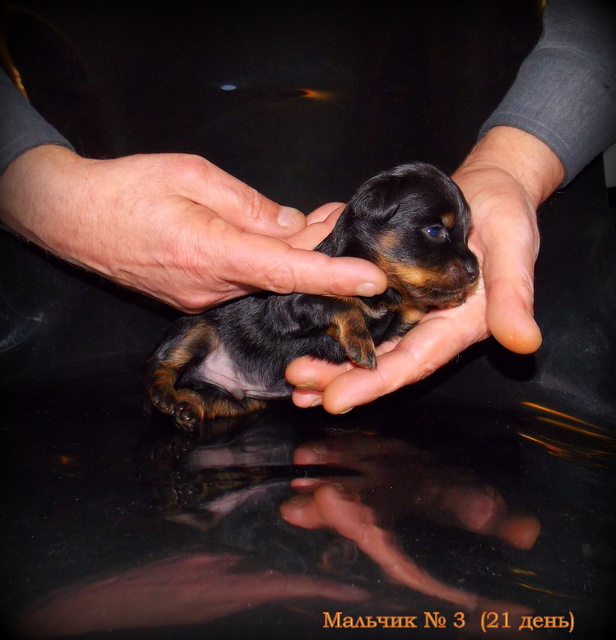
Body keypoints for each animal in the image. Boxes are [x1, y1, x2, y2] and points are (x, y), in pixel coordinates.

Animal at [143, 162, 479, 431]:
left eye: (466, 234)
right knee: (160, 366)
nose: (475, 270)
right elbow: (339, 304)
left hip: (239, 399)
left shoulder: (396, 318)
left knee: (211, 400)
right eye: (434, 231)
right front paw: (359, 342)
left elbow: (409, 307)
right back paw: (167, 397)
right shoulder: (289, 305)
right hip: (196, 329)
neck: (384, 295)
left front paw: (445, 299)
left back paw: (188, 409)